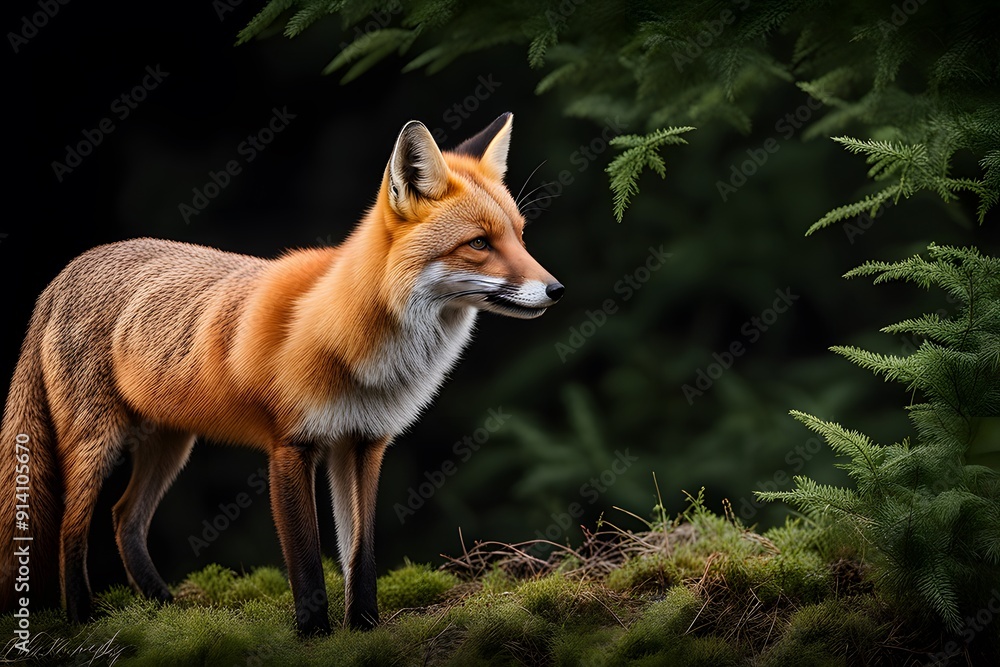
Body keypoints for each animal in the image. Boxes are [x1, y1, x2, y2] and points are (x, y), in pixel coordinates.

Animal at [0, 112, 563, 635]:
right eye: (479, 243)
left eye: (520, 236)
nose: (556, 290)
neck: (362, 349)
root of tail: (64, 273)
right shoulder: (291, 446)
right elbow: (308, 562)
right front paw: (314, 636)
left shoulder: (364, 443)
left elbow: (360, 555)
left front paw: (363, 628)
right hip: (98, 442)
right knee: (71, 528)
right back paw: (82, 618)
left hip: (170, 443)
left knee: (124, 518)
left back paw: (162, 607)